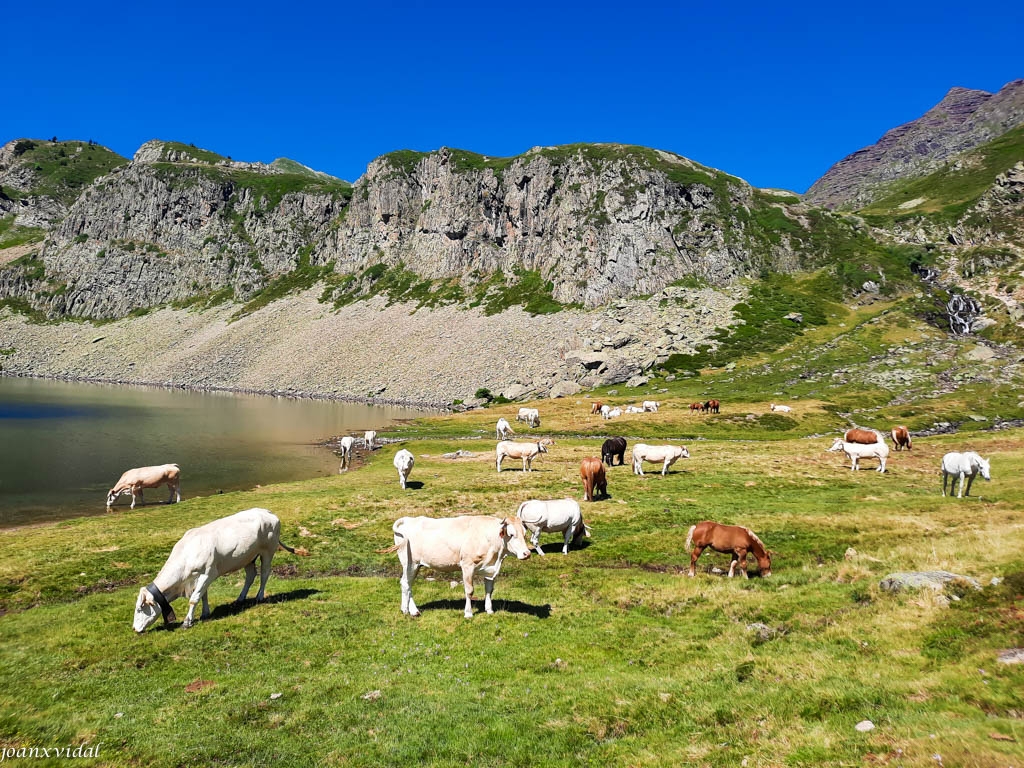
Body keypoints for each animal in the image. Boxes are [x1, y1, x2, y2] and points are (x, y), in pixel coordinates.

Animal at [130, 512, 303, 630]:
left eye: (140, 608)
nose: (134, 629)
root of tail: (269, 513)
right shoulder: (199, 577)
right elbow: (203, 595)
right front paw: (205, 613)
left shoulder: (208, 573)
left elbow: (195, 598)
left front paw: (187, 621)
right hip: (247, 557)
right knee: (250, 575)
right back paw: (240, 598)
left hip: (268, 551)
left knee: (265, 574)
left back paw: (259, 596)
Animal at [380, 518, 532, 618]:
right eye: (511, 535)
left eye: (524, 534)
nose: (527, 553)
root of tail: (407, 519)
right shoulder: (467, 566)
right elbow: (469, 591)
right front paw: (468, 613)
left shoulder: (490, 569)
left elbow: (489, 590)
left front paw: (489, 610)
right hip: (410, 563)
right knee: (406, 584)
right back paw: (408, 610)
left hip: (415, 565)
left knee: (406, 583)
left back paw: (410, 610)